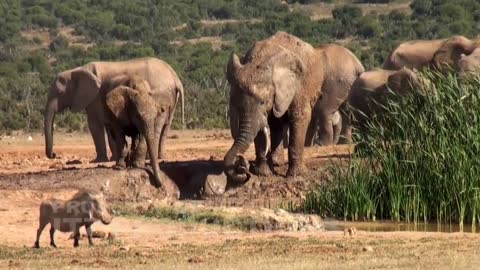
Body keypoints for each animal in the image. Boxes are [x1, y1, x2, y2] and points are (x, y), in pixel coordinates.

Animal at [44, 57, 184, 162]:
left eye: (59, 93)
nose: (54, 155)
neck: (76, 70)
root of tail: (175, 77)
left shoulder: (95, 96)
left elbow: (94, 124)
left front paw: (98, 161)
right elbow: (108, 123)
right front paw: (113, 158)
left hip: (160, 95)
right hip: (170, 100)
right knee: (165, 127)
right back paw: (159, 157)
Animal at [225, 32, 364, 184]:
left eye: (263, 102)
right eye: (235, 102)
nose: (241, 162)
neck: (260, 60)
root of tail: (358, 65)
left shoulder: (298, 84)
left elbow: (299, 116)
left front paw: (296, 175)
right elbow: (267, 124)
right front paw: (264, 173)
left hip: (337, 83)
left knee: (325, 112)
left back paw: (320, 145)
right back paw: (278, 162)